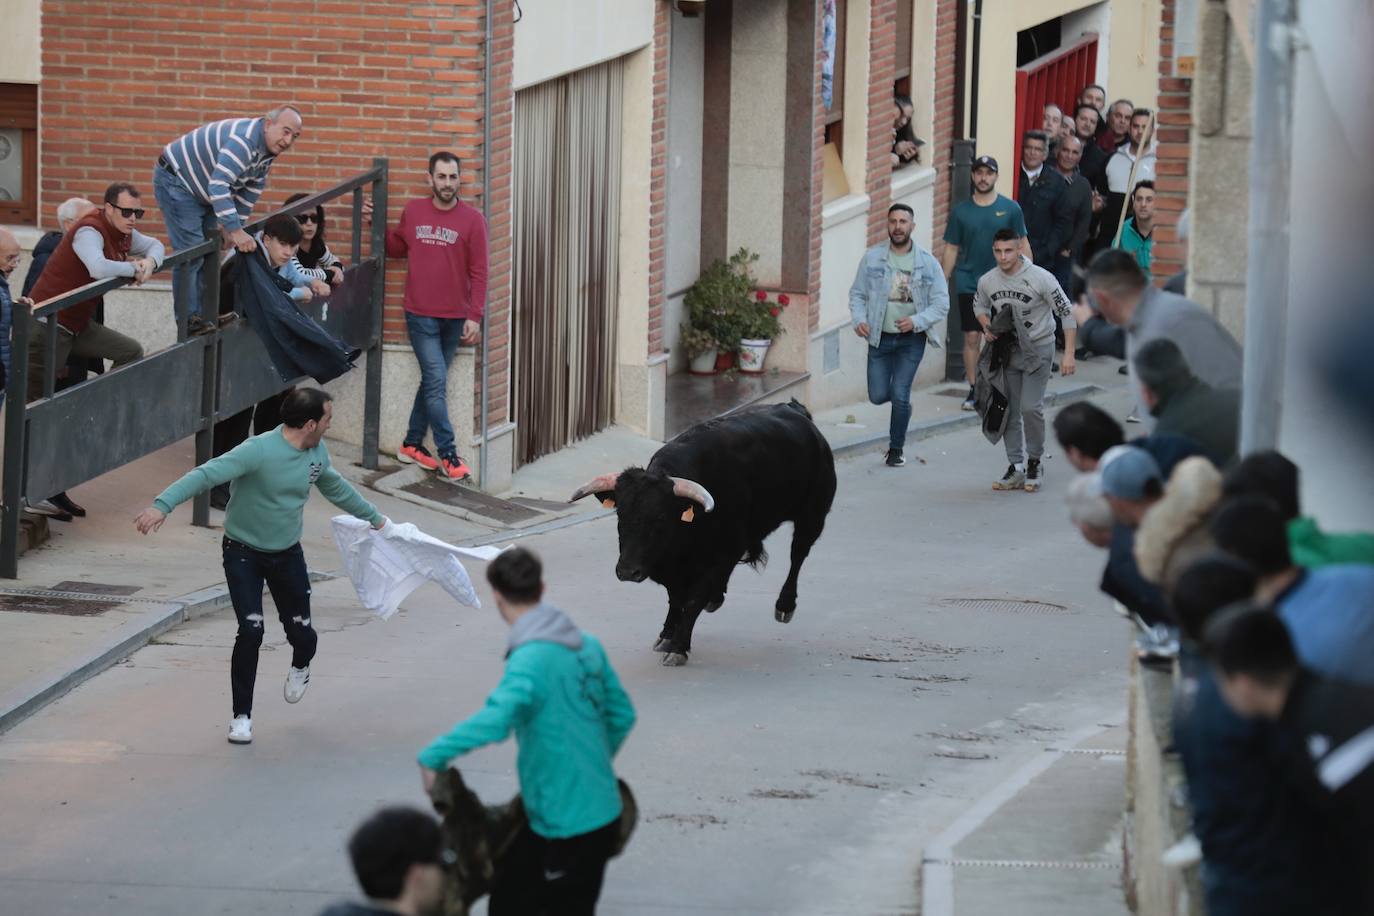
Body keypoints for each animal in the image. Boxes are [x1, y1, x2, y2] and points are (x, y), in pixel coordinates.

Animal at [568, 401, 835, 667]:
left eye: (660, 518)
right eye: (620, 514)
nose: (627, 571)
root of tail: (795, 410)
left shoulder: (722, 556)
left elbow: (693, 601)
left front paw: (678, 647)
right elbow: (676, 598)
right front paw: (667, 634)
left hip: (812, 516)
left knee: (798, 554)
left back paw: (784, 605)